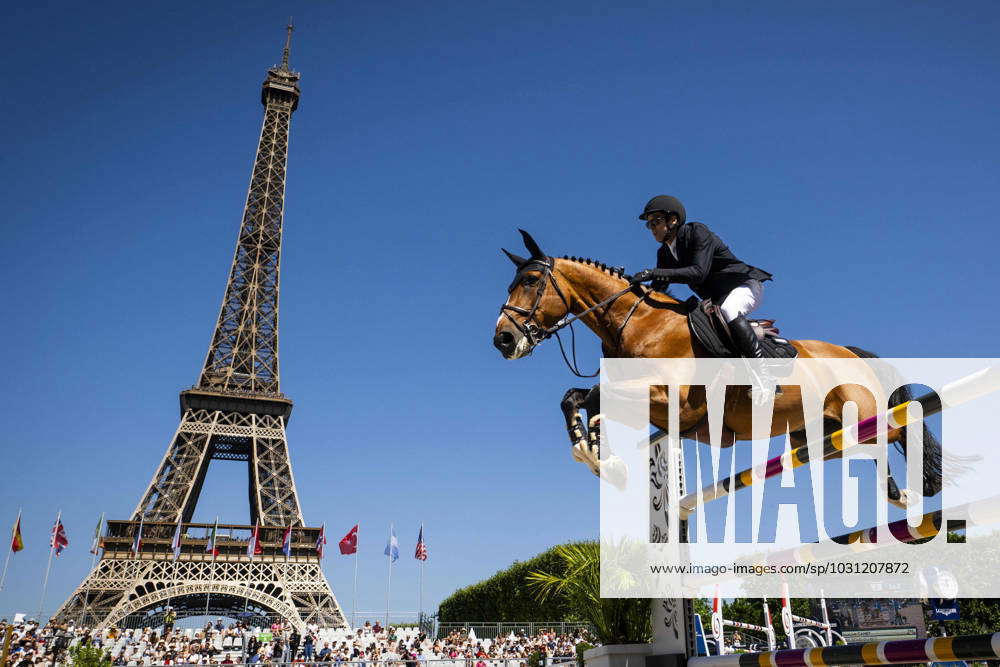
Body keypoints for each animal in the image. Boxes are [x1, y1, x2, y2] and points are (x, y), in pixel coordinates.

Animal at [496, 231, 940, 506]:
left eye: (531, 281)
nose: (502, 339)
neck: (637, 321)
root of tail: (850, 352)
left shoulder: (673, 398)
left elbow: (594, 395)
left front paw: (597, 454)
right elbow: (577, 397)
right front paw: (594, 453)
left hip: (863, 413)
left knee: (901, 429)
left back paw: (915, 491)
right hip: (820, 436)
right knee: (869, 449)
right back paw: (898, 496)